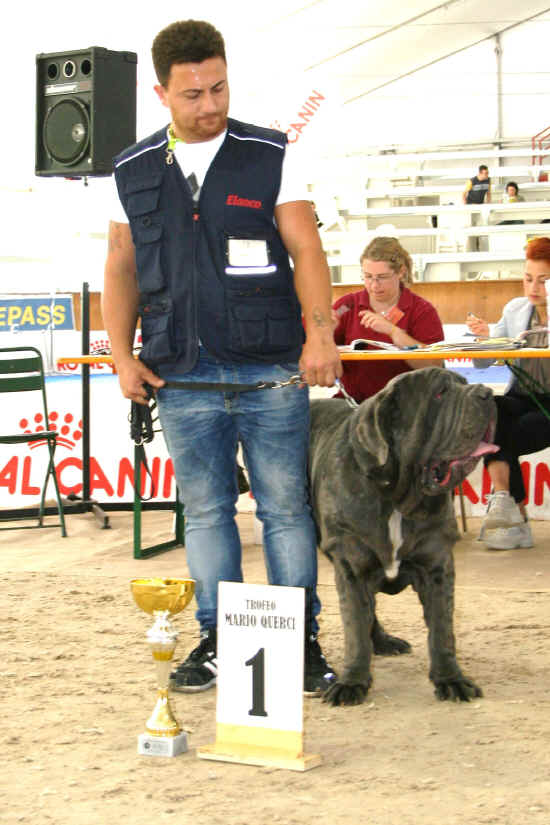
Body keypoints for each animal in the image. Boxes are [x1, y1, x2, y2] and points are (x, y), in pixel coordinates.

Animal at [310, 366, 500, 708]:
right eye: (440, 393)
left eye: (464, 384)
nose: (487, 393)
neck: (396, 495)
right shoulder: (352, 565)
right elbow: (354, 628)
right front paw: (351, 682)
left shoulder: (437, 565)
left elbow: (442, 630)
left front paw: (451, 679)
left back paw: (384, 642)